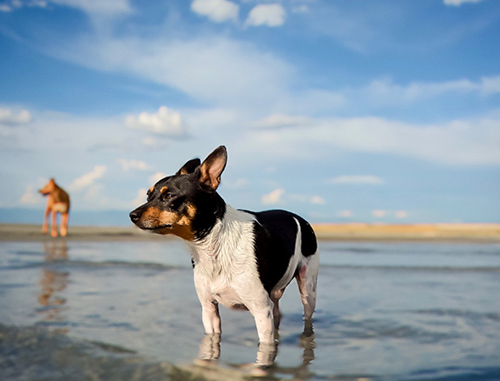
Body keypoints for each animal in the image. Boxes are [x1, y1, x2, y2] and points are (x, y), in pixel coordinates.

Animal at [129, 145, 320, 366]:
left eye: (168, 196)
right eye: (147, 195)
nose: (132, 215)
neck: (211, 246)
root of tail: (298, 217)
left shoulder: (261, 311)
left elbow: (264, 347)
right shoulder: (208, 309)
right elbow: (213, 341)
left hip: (308, 289)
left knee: (307, 316)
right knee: (278, 314)